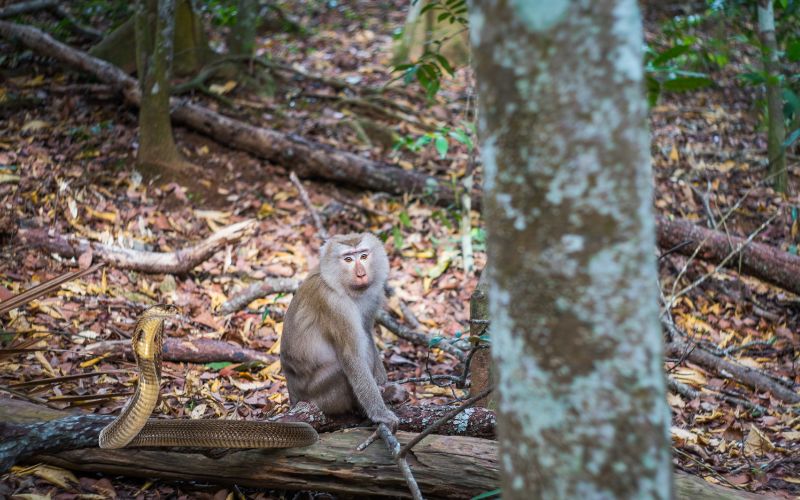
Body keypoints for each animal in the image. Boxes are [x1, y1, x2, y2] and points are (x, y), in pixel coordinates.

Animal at [282, 232, 400, 432]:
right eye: (348, 259)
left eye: (363, 256)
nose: (361, 274)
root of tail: (294, 397)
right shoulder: (334, 304)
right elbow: (351, 356)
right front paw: (380, 414)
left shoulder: (373, 296)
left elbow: (367, 332)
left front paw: (383, 384)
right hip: (319, 395)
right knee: (341, 369)